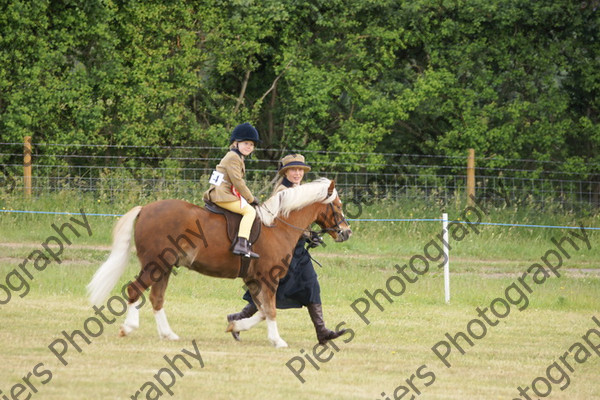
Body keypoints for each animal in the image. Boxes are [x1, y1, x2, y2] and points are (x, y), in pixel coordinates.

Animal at [88, 178, 352, 346]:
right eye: (338, 205)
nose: (346, 232)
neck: (277, 225)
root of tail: (145, 209)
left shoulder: (254, 280)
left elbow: (262, 311)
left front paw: (236, 327)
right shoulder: (269, 278)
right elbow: (271, 310)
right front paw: (277, 340)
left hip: (164, 267)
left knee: (156, 298)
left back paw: (168, 334)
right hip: (155, 265)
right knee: (135, 290)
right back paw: (129, 328)